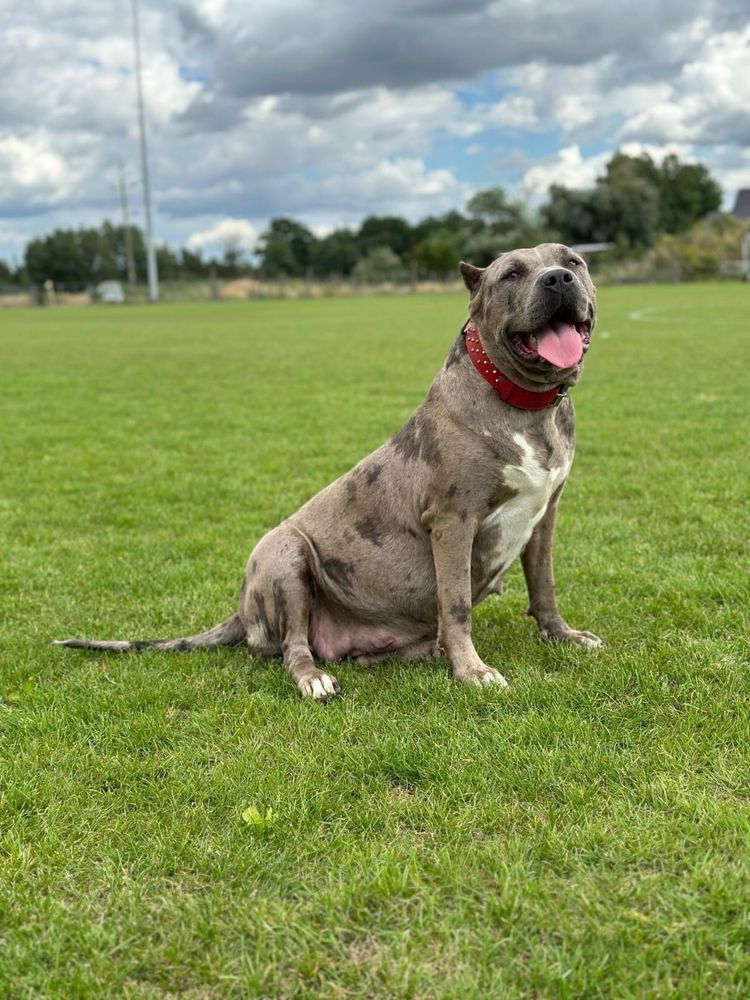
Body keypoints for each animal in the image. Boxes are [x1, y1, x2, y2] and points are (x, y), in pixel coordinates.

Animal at [55, 243, 604, 700]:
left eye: (573, 260)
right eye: (511, 273)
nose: (557, 279)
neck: (525, 406)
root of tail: (240, 610)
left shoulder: (544, 515)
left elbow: (544, 585)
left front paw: (562, 635)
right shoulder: (452, 521)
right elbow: (457, 605)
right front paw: (472, 670)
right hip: (284, 555)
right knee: (294, 648)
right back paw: (315, 679)